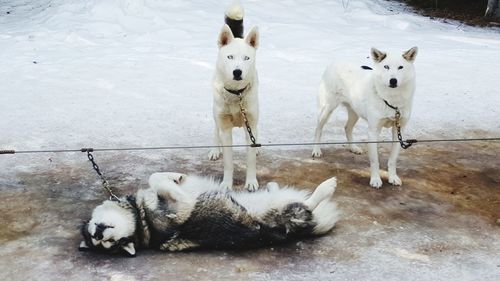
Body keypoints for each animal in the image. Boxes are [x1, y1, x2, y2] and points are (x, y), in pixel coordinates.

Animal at [208, 1, 262, 190]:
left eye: (246, 58)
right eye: (230, 57)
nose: (237, 72)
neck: (237, 95)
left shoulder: (250, 123)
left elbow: (251, 160)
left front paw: (251, 182)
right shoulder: (225, 127)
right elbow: (228, 162)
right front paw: (226, 184)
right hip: (215, 113)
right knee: (215, 130)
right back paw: (215, 149)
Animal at [312, 47, 418, 188]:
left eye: (401, 67)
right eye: (386, 66)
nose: (393, 80)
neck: (392, 100)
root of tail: (335, 62)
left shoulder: (398, 131)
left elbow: (392, 160)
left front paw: (393, 177)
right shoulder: (373, 132)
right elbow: (375, 161)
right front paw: (375, 179)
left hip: (354, 112)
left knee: (347, 128)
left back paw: (353, 148)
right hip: (326, 109)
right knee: (318, 129)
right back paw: (316, 150)